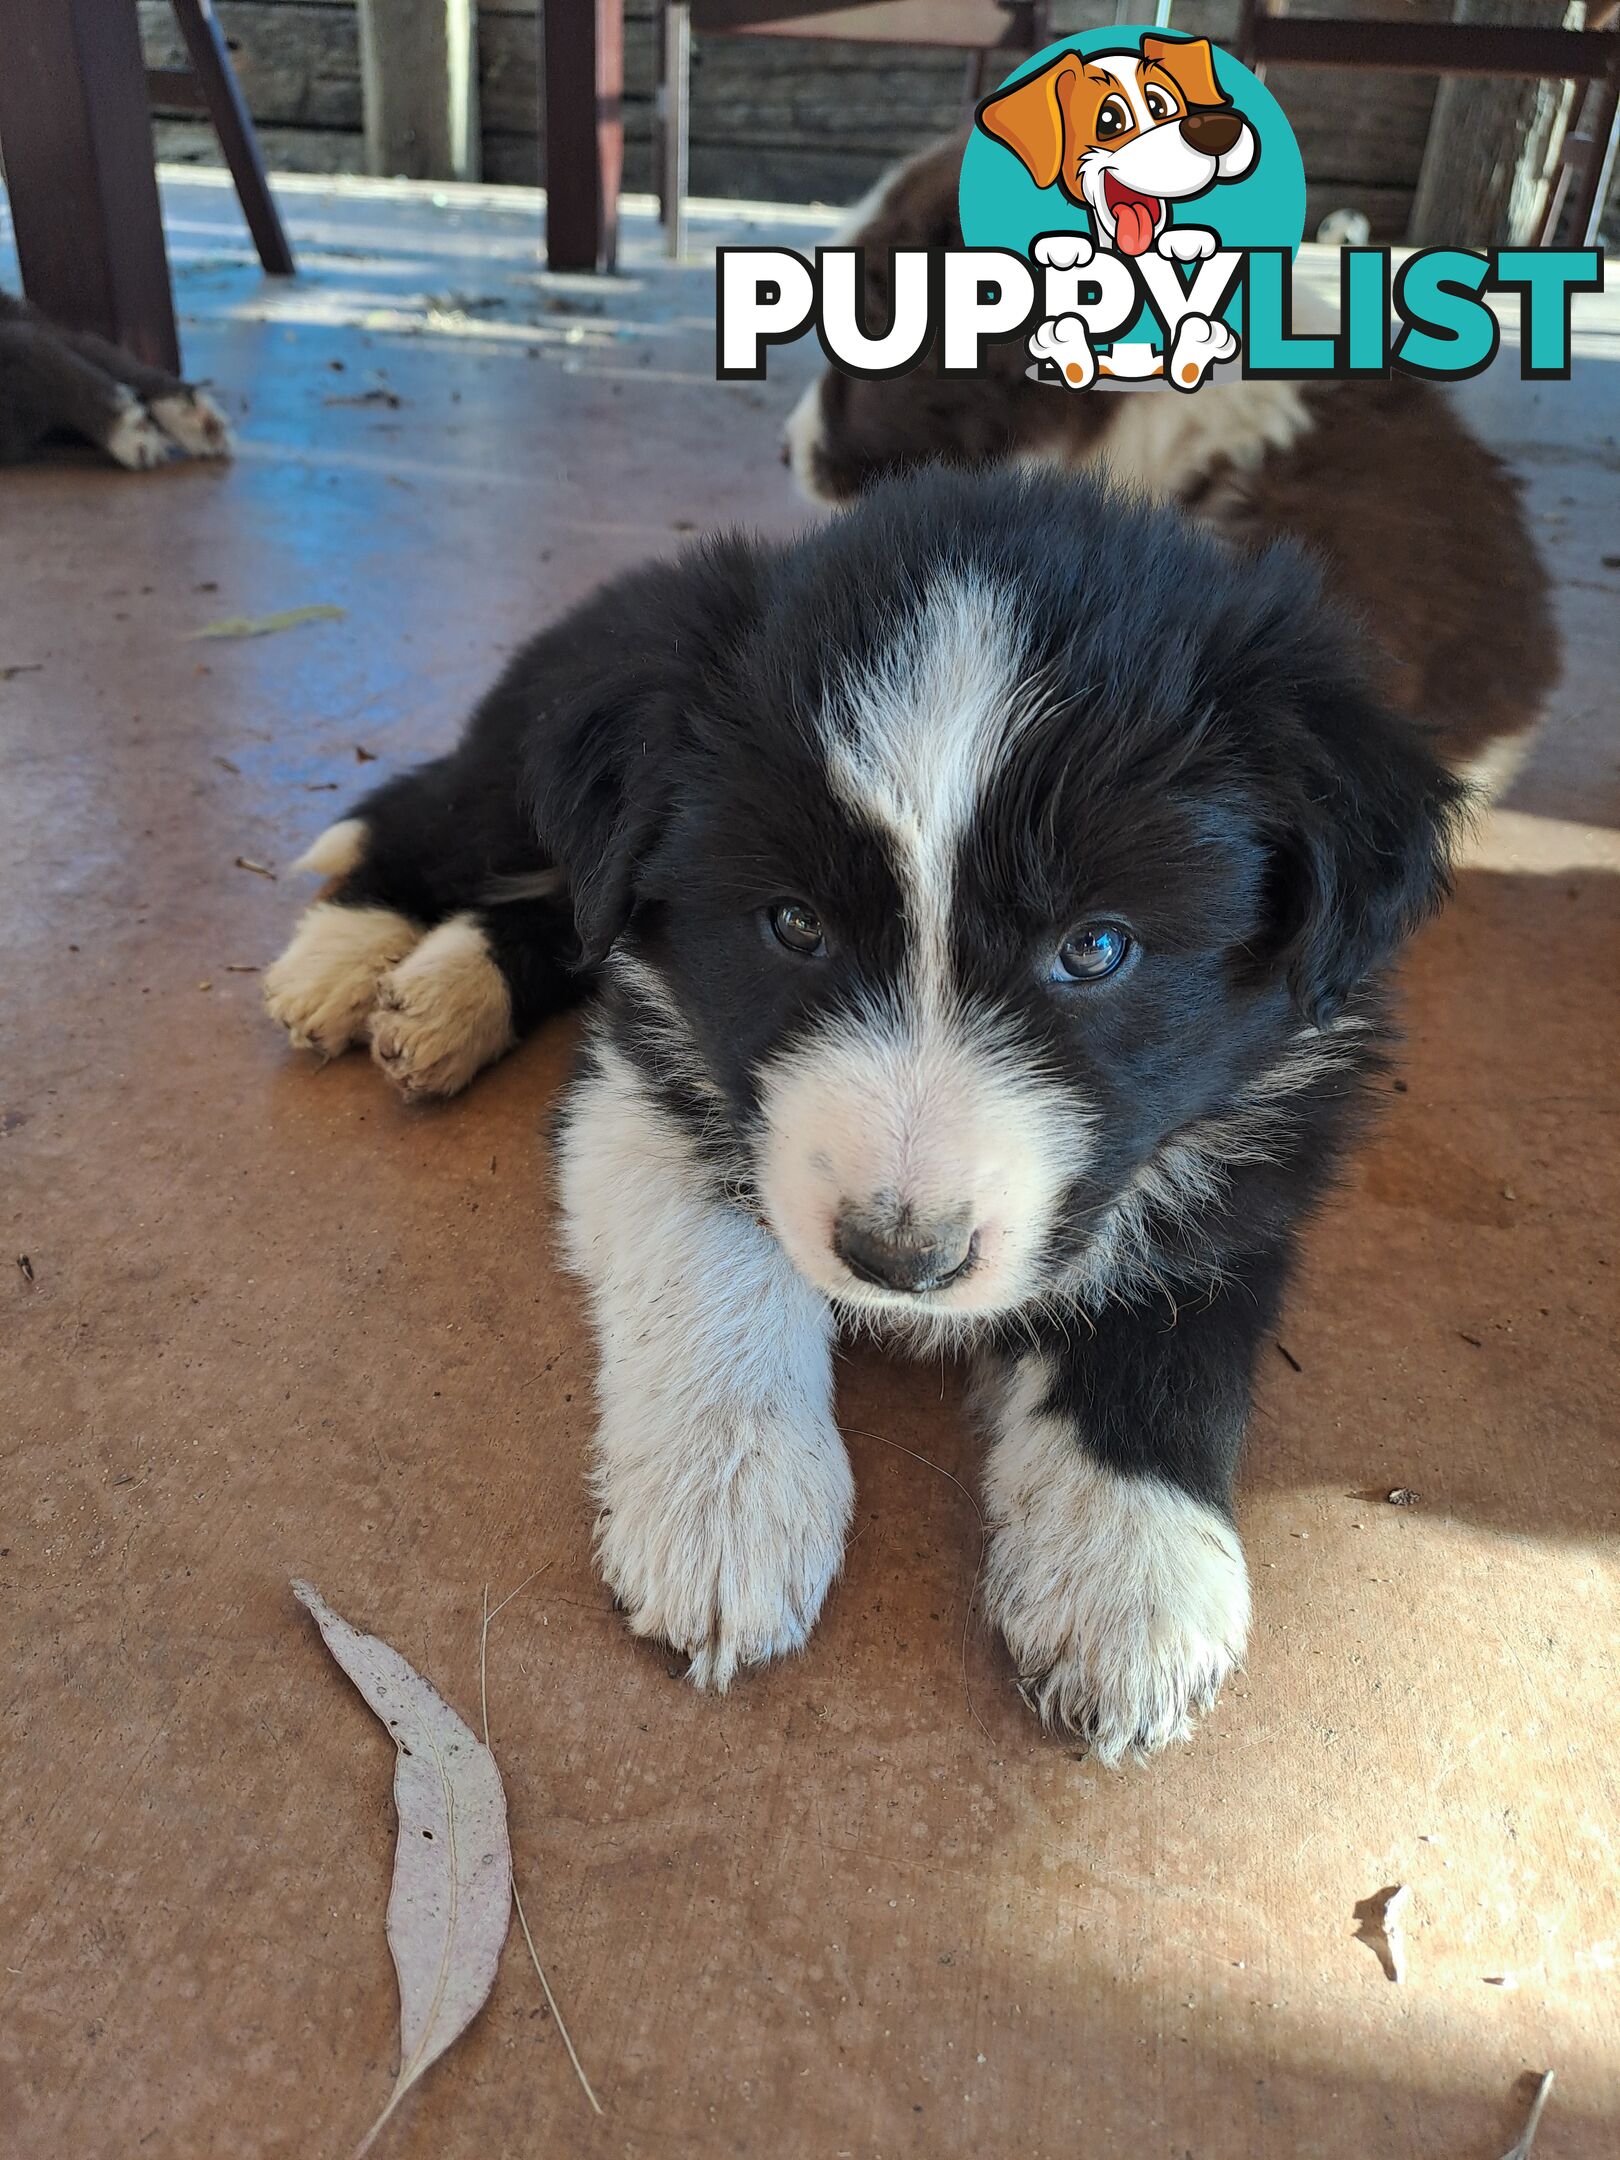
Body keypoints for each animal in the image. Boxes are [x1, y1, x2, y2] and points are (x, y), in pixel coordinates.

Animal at [266, 468, 1468, 1753]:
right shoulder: (650, 1069)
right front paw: (728, 1503)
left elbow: (1170, 1334)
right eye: (794, 925)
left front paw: (1131, 1578)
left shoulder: (1262, 1142)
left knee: (545, 912)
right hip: (520, 781)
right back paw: (347, 958)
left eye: (1096, 947)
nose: (902, 1260)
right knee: (434, 824)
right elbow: (723, 1263)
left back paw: (440, 997)